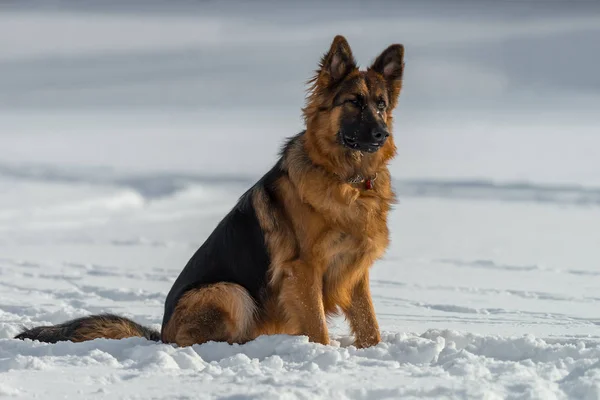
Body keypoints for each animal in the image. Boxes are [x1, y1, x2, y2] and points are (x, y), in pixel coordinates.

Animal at [16, 36, 406, 348]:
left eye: (381, 104)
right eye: (353, 102)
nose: (381, 134)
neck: (347, 180)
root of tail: (161, 333)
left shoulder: (355, 271)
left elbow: (369, 324)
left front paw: (372, 352)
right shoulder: (303, 269)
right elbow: (317, 327)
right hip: (230, 292)